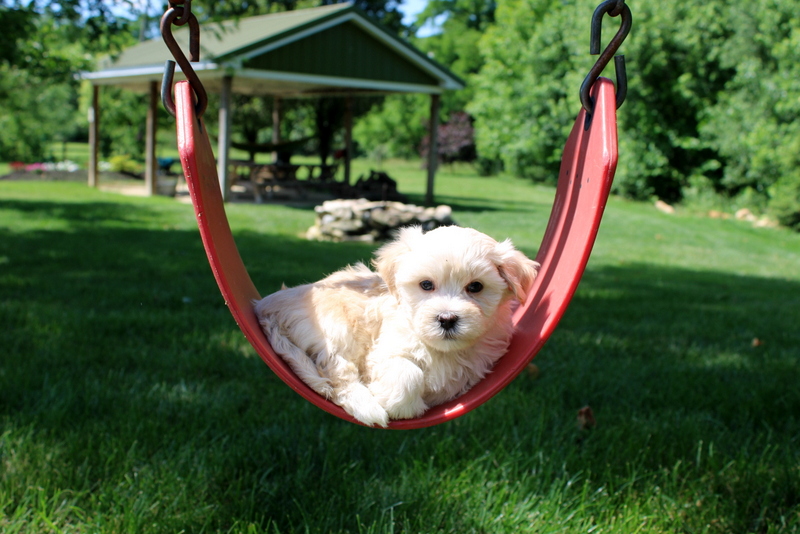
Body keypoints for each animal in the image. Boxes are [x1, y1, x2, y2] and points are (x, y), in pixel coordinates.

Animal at [253, 225, 540, 428]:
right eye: (426, 284)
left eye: (476, 287)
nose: (447, 319)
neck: (439, 349)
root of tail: (267, 306)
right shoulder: (384, 351)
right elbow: (407, 372)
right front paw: (401, 407)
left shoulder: (470, 371)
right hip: (334, 329)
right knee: (337, 374)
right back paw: (366, 407)